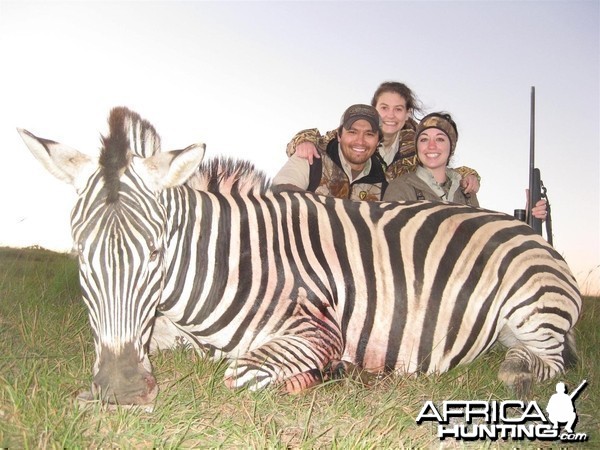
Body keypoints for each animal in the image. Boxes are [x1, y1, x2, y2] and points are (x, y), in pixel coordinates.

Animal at [17, 107, 580, 406]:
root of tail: (530, 234)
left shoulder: (317, 328)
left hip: (533, 309)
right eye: (79, 253)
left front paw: (327, 374)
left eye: (155, 252)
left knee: (541, 364)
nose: (121, 389)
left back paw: (516, 369)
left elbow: (242, 373)